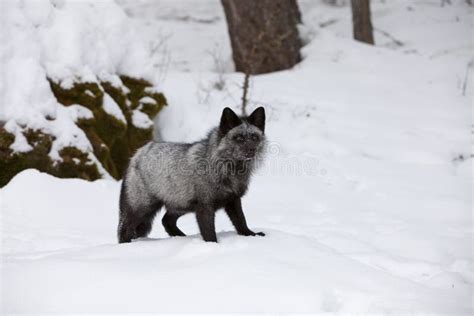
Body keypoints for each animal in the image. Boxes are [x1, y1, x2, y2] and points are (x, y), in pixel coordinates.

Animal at [118, 106, 266, 242]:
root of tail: (138, 153)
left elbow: (241, 221)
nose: (252, 151)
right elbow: (209, 231)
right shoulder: (204, 205)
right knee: (125, 228)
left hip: (180, 204)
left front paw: (250, 235)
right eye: (239, 138)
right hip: (143, 206)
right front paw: (213, 245)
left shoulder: (233, 199)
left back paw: (180, 237)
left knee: (166, 220)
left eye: (254, 137)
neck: (227, 169)